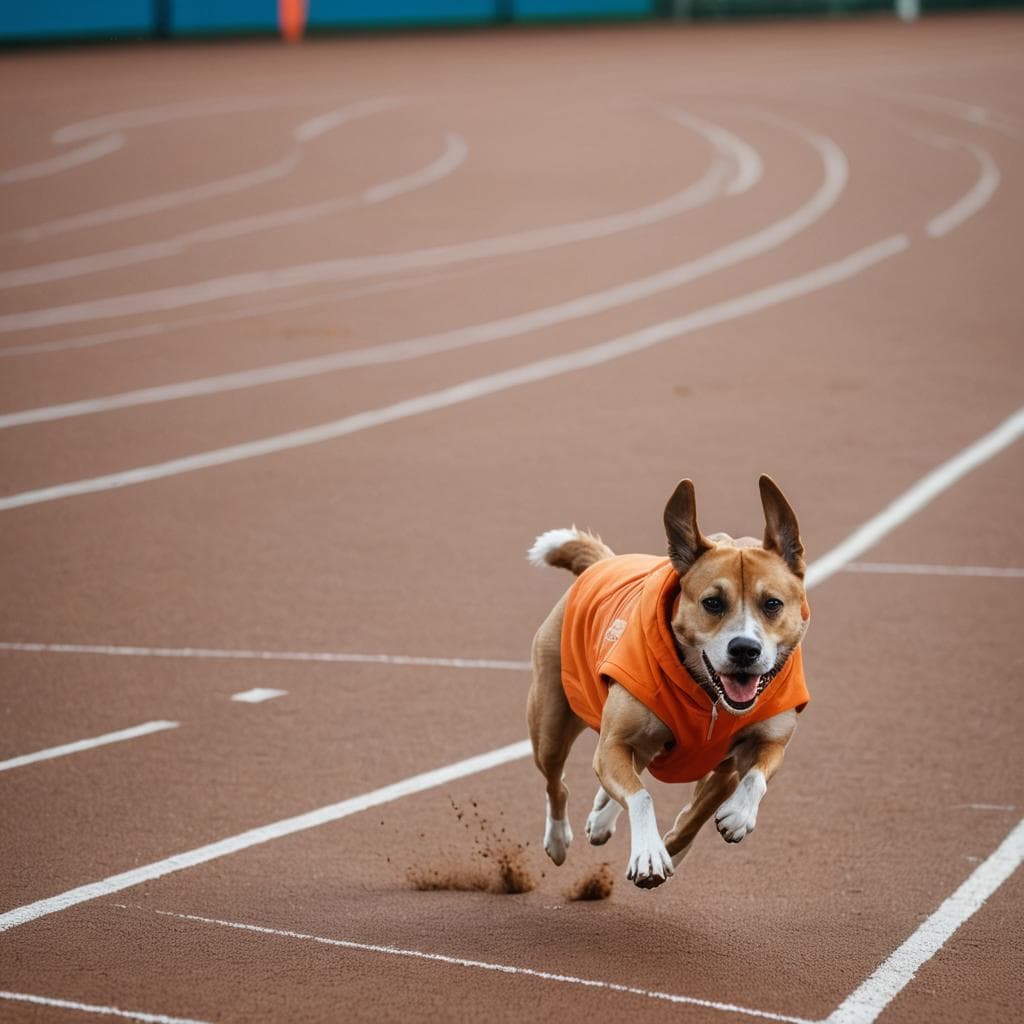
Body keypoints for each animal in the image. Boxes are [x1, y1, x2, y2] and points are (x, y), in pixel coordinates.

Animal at [528, 479, 806, 888]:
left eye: (772, 603)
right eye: (712, 603)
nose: (745, 649)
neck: (708, 697)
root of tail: (602, 562)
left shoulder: (752, 751)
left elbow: (733, 791)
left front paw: (730, 819)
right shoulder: (614, 743)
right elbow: (641, 798)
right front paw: (649, 853)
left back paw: (603, 817)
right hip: (550, 722)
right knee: (556, 782)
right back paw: (559, 840)